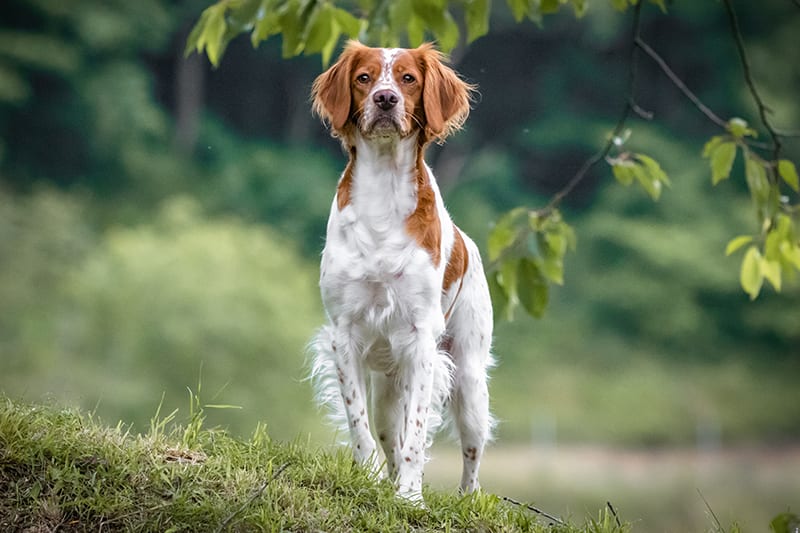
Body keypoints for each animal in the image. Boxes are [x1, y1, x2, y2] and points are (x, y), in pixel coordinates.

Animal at [308, 41, 490, 502]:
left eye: (408, 78)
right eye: (364, 78)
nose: (385, 99)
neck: (384, 193)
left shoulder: (422, 339)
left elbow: (418, 433)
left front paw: (410, 497)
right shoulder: (344, 334)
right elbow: (359, 425)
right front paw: (370, 480)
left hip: (469, 381)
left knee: (471, 455)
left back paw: (464, 497)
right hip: (388, 391)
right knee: (389, 433)